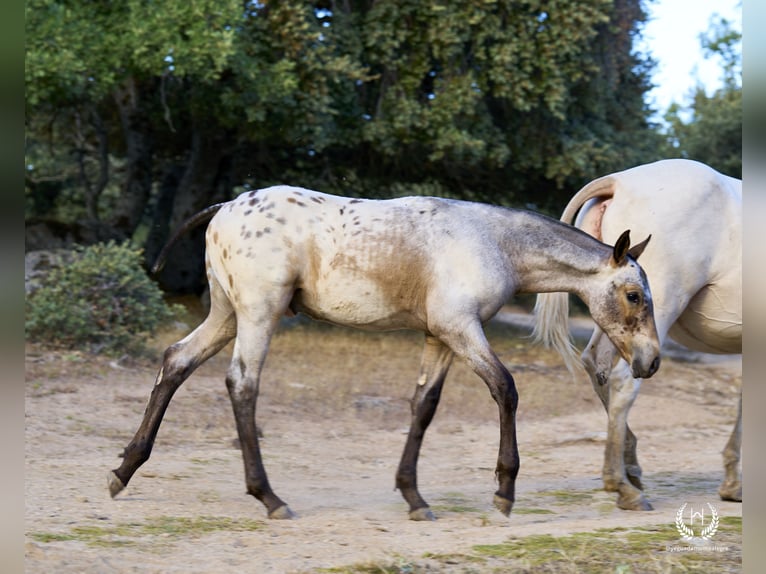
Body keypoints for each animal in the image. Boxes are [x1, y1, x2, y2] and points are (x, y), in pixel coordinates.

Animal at [106, 188, 660, 520]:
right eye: (635, 295)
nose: (651, 361)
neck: (493, 242)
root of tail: (225, 205)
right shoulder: (462, 329)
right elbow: (506, 389)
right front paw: (504, 493)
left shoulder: (441, 336)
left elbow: (424, 407)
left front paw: (414, 497)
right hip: (259, 314)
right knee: (242, 384)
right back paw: (269, 498)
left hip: (226, 314)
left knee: (176, 361)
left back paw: (124, 470)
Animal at [536, 159, 744, 512]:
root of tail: (617, 182)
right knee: (623, 378)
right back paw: (622, 486)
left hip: (614, 317)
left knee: (596, 364)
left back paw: (630, 467)